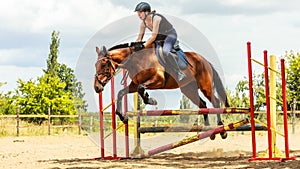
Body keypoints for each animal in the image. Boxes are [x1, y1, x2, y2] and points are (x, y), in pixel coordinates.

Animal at [94, 42, 230, 139]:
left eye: (104, 64)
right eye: (96, 65)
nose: (97, 87)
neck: (136, 60)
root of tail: (205, 61)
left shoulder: (158, 80)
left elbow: (141, 88)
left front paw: (151, 100)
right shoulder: (133, 85)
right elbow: (121, 93)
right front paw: (123, 117)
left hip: (205, 86)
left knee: (215, 102)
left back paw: (221, 130)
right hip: (188, 89)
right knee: (203, 104)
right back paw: (209, 131)